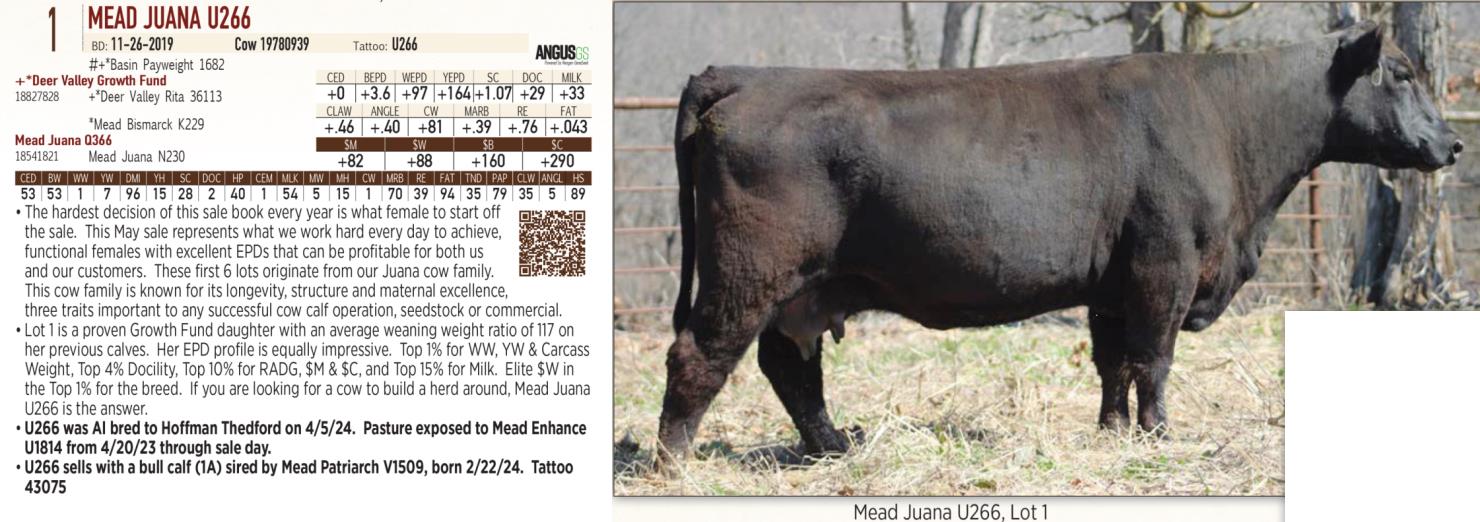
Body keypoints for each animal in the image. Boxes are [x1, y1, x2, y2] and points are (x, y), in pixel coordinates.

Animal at [656, 21, 1462, 463]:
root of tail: (742, 77)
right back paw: (673, 461)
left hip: (801, 289)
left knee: (789, 366)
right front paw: (1159, 436)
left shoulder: (1113, 283)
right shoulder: (1164, 267)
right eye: (1400, 73)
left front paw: (1112, 432)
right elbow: (1153, 360)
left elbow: (1113, 364)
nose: (1453, 143)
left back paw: (833, 446)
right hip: (748, 272)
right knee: (701, 354)